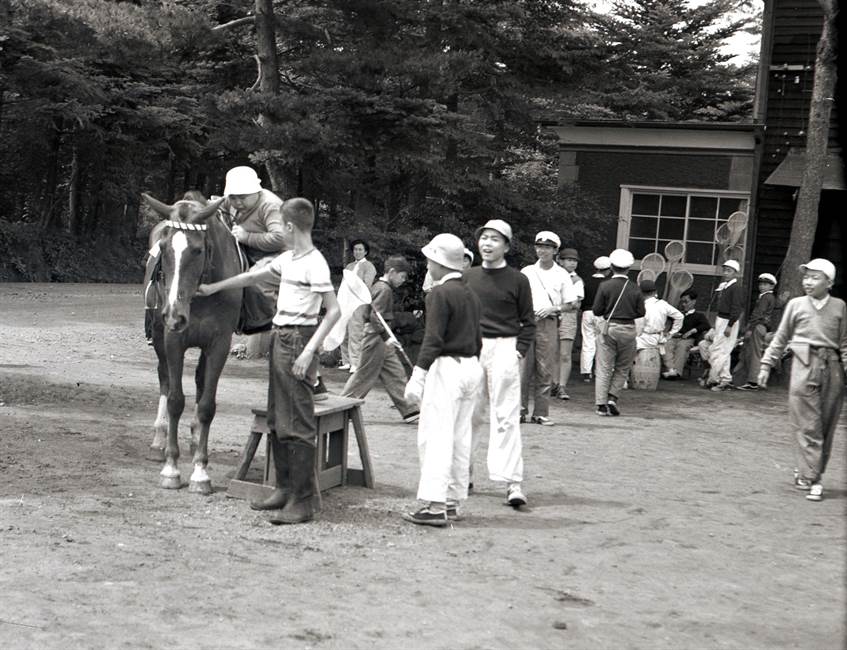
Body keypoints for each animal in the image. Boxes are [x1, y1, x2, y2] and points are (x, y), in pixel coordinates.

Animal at [142, 192, 242, 492]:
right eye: (164, 248)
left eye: (197, 250)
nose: (174, 313)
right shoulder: (173, 338)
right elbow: (175, 400)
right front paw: (171, 469)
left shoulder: (219, 344)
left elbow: (207, 404)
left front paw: (200, 471)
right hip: (161, 339)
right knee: (164, 380)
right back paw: (159, 440)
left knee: (200, 381)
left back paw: (196, 436)